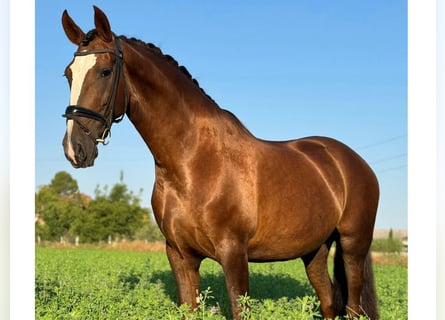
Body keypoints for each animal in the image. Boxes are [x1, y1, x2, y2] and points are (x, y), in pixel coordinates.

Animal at [59, 6, 378, 318]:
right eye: (68, 74)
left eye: (105, 71)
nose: (75, 149)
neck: (195, 163)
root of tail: (353, 161)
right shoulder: (179, 255)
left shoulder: (234, 254)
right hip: (315, 250)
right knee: (329, 302)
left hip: (353, 246)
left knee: (353, 308)